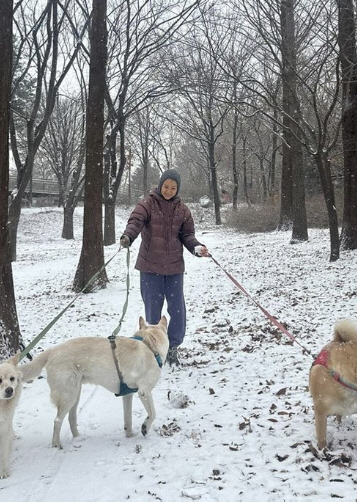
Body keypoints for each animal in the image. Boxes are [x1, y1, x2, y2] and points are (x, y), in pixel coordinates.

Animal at [20, 316, 168, 450]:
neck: (150, 344)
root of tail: (52, 351)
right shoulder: (144, 391)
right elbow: (153, 414)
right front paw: (145, 428)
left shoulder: (128, 395)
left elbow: (128, 418)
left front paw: (129, 435)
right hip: (68, 395)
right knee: (57, 421)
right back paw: (57, 445)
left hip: (75, 394)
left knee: (71, 418)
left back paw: (78, 439)